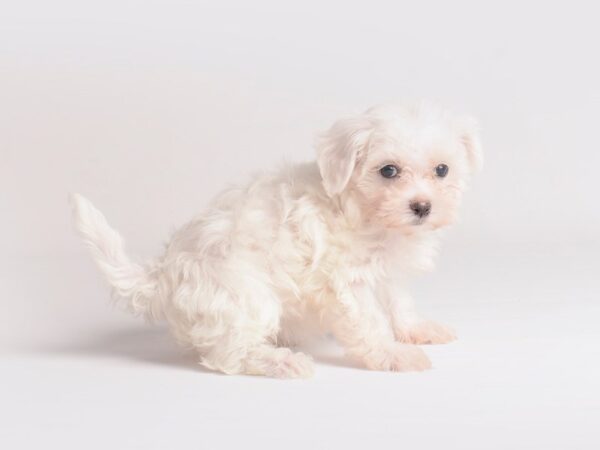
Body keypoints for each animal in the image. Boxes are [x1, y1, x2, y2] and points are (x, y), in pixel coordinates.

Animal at [70, 103, 482, 378]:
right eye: (389, 171)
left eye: (442, 170)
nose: (422, 207)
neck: (362, 212)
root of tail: (164, 275)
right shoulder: (347, 281)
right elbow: (369, 321)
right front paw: (390, 354)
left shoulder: (388, 274)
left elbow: (399, 304)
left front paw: (416, 330)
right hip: (247, 296)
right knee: (228, 355)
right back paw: (279, 361)